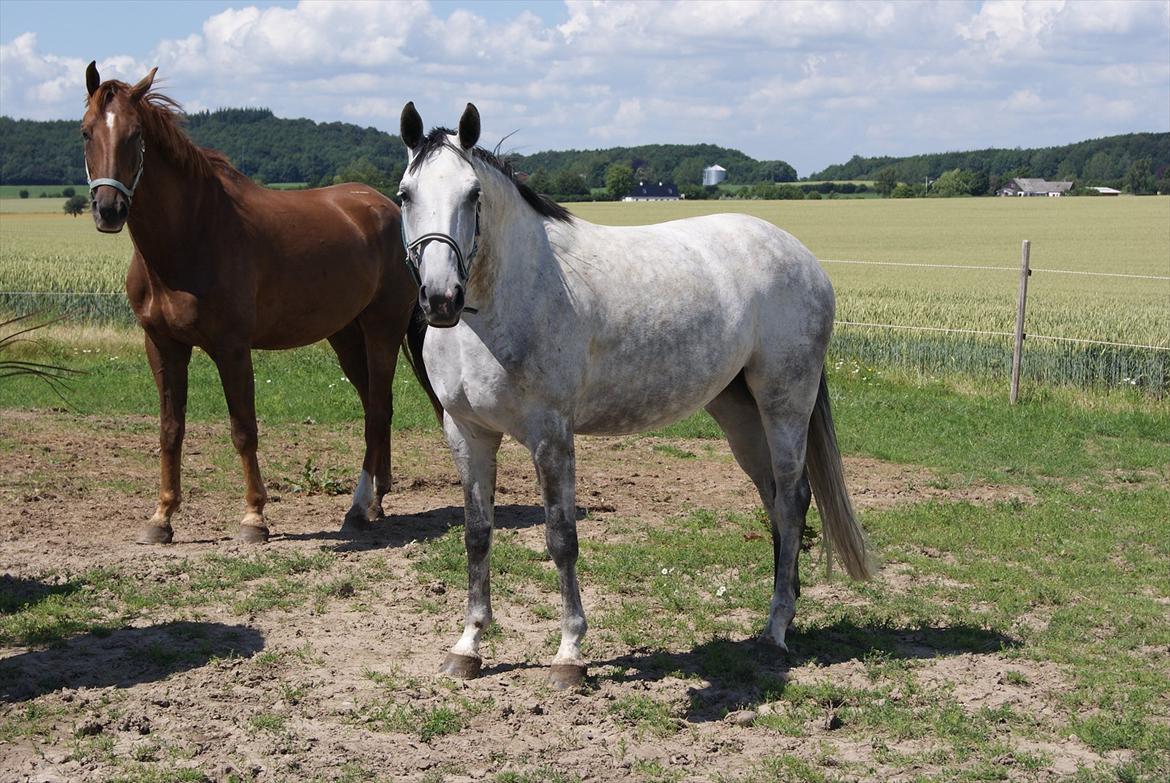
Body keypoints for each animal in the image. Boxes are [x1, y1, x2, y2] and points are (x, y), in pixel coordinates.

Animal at [82, 62, 439, 543]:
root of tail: (387, 209)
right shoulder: (162, 345)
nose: (109, 210)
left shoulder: (232, 348)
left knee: (378, 411)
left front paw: (254, 517)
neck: (191, 236)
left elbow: (243, 429)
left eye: (135, 135)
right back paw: (376, 502)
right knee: (374, 409)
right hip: (346, 336)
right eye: (86, 132)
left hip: (381, 330)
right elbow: (170, 430)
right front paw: (161, 517)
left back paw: (357, 507)